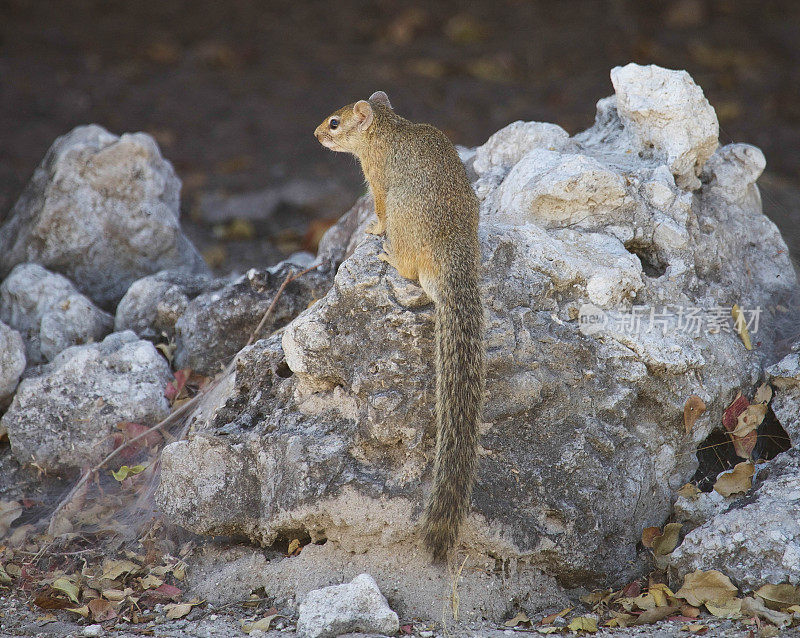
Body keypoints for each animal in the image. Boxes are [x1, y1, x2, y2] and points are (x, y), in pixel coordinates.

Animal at [316, 90, 484, 560]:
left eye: (334, 122)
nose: (316, 134)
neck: (389, 128)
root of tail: (453, 260)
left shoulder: (376, 182)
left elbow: (376, 211)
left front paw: (372, 231)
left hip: (406, 230)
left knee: (410, 271)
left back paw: (390, 256)